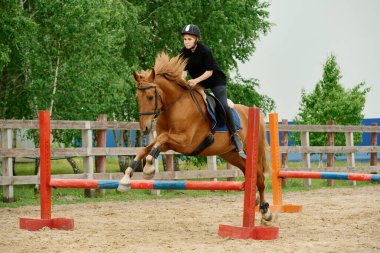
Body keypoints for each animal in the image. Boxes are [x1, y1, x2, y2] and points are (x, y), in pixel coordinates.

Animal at [119, 52, 274, 222]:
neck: (174, 105)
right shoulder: (170, 143)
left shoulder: (186, 142)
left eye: (149, 97)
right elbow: (147, 148)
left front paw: (148, 168)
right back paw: (257, 202)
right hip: (232, 155)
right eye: (136, 97)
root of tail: (254, 113)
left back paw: (265, 211)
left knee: (260, 178)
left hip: (251, 152)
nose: (145, 128)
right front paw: (126, 179)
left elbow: (161, 139)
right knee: (250, 173)